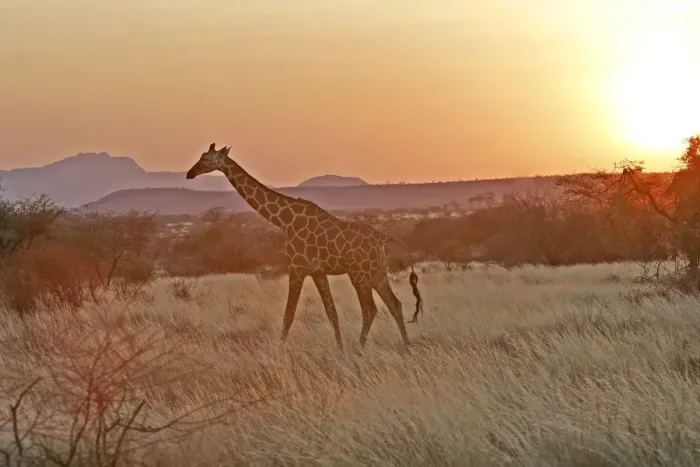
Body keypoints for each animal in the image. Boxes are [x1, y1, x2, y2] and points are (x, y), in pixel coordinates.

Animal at [186, 143, 423, 349]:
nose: (189, 173)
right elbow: (331, 312)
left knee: (370, 309)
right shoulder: (318, 272)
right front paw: (340, 349)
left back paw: (360, 348)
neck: (285, 220)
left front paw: (278, 351)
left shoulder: (297, 268)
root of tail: (383, 238)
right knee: (394, 304)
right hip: (377, 272)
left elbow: (289, 313)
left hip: (360, 273)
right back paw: (406, 346)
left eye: (205, 159)